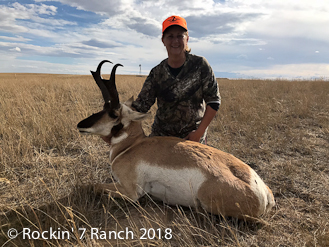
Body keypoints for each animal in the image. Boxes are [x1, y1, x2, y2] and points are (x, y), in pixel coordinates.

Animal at [77, 60, 274, 219]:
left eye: (113, 113)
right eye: (103, 107)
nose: (80, 125)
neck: (132, 146)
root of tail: (262, 193)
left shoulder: (130, 191)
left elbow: (92, 185)